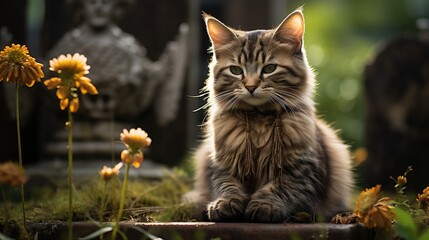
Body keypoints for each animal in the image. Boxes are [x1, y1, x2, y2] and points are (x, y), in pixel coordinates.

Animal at [186, 8, 352, 223]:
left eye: (269, 68)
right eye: (236, 70)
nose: (250, 86)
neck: (259, 120)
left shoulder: (302, 171)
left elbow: (282, 188)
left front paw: (265, 205)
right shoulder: (220, 164)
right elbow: (226, 185)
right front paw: (225, 204)